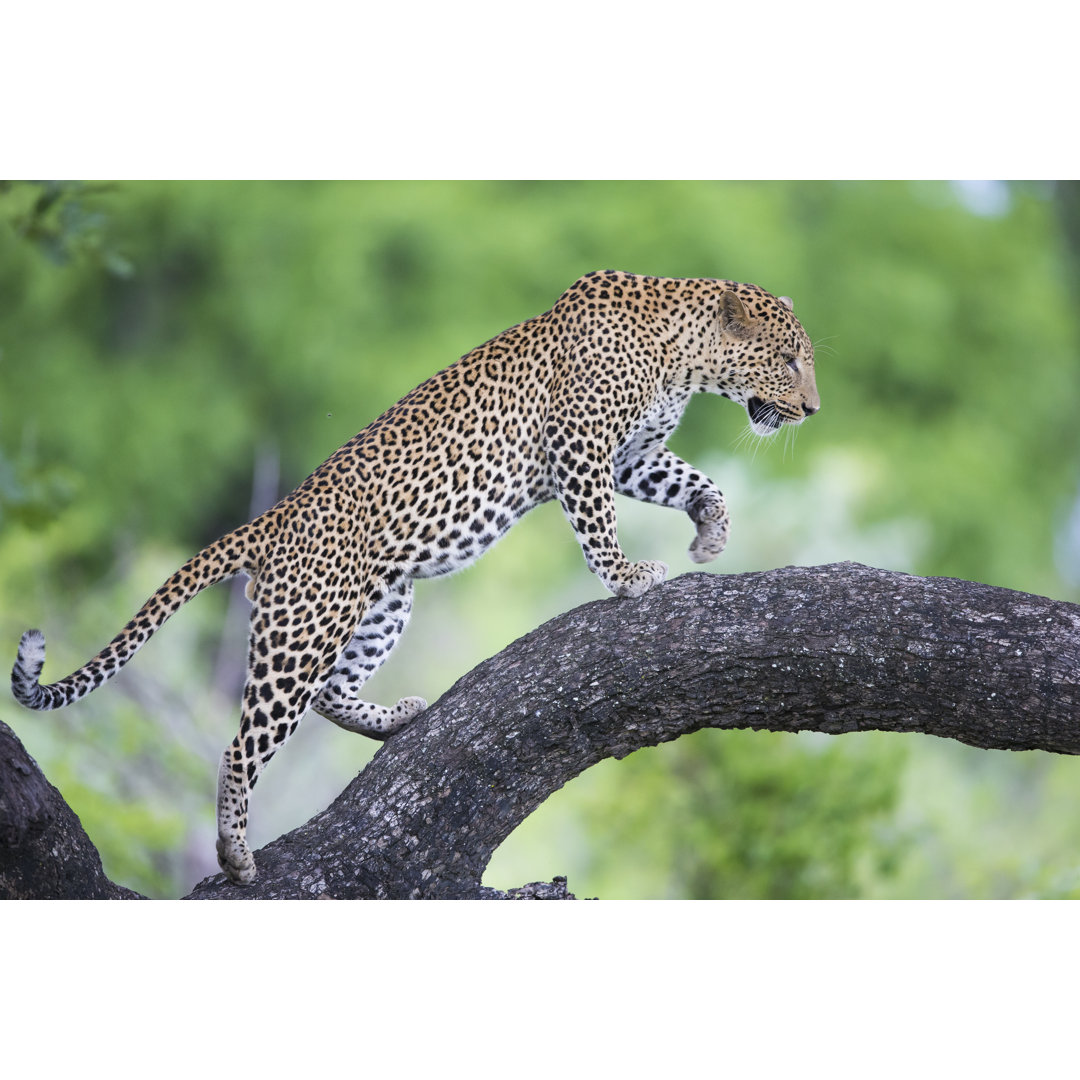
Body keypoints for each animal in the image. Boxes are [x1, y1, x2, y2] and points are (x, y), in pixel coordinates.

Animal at [10, 270, 816, 885]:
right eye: (790, 360)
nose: (812, 408)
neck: (684, 357)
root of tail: (270, 521)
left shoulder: (632, 456)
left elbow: (698, 481)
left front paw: (711, 532)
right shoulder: (582, 447)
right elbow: (596, 524)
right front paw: (627, 576)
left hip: (380, 605)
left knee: (332, 691)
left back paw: (394, 718)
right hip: (302, 631)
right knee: (244, 744)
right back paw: (236, 855)